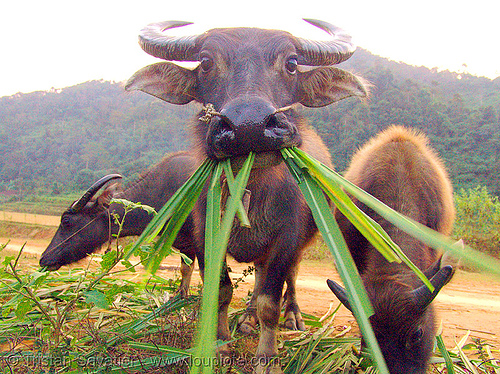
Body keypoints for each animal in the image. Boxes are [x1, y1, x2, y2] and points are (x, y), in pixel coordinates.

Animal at [125, 18, 368, 372]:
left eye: (292, 63)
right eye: (206, 62)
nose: (248, 125)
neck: (250, 188)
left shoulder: (287, 238)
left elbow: (270, 300)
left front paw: (268, 357)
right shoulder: (204, 235)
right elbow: (221, 291)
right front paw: (221, 345)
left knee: (289, 278)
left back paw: (293, 317)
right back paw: (248, 319)